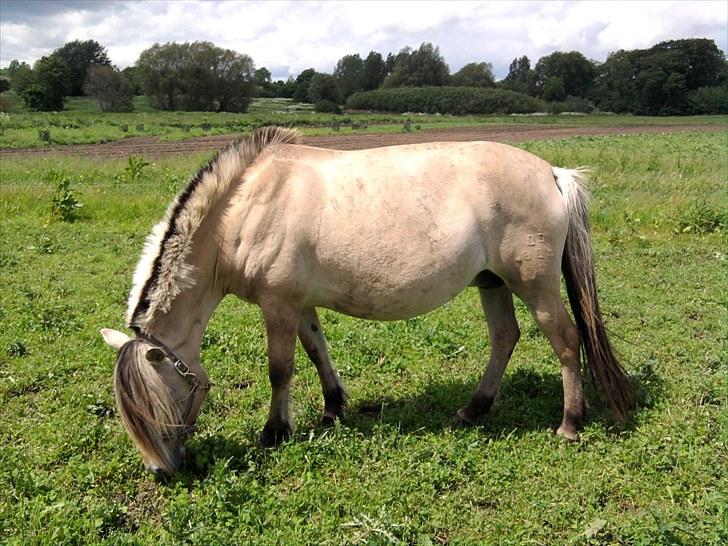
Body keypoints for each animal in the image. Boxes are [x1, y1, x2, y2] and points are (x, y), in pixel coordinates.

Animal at [101, 126, 632, 472]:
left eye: (154, 401)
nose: (160, 470)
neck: (244, 209)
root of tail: (553, 174)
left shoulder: (279, 305)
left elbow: (280, 369)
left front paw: (275, 432)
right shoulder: (300, 304)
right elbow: (317, 350)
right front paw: (333, 407)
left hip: (534, 285)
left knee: (566, 341)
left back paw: (570, 422)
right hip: (492, 283)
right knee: (505, 337)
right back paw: (474, 409)